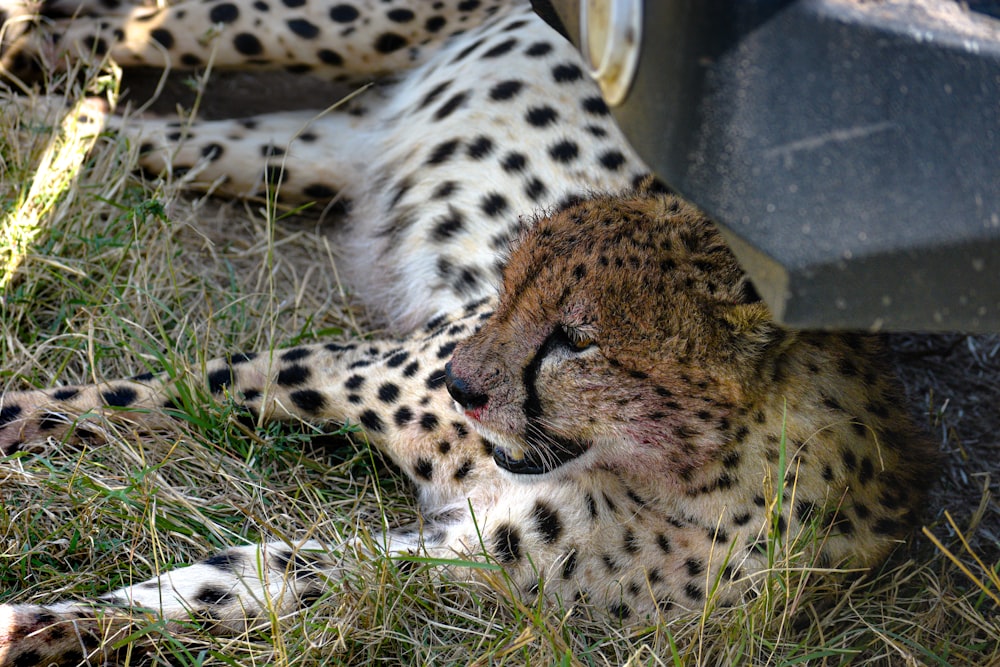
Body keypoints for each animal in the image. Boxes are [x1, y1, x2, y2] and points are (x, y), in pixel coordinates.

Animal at [0, 2, 936, 664]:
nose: (460, 381)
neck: (692, 473)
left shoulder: (457, 558)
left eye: (578, 340)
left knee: (109, 129)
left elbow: (230, 588)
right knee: (162, 22)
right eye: (510, 282)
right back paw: (27, 37)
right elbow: (108, 396)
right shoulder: (328, 365)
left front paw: (41, 626)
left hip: (297, 148)